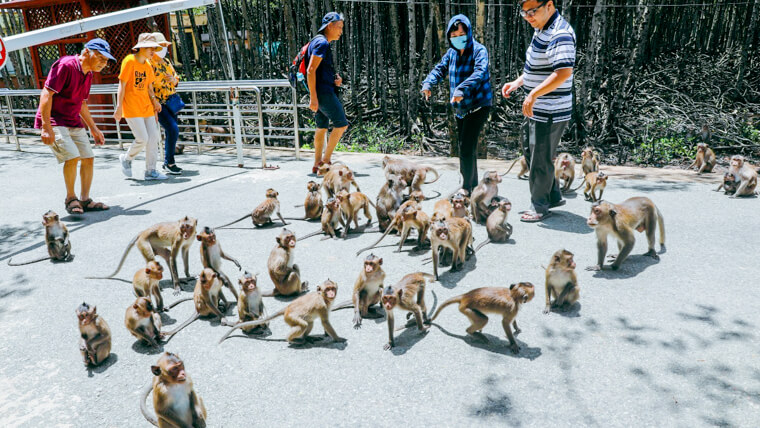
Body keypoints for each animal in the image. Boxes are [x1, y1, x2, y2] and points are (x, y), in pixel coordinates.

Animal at [218, 280, 346, 344]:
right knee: (303, 325)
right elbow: (325, 322)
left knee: (309, 323)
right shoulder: (322, 306)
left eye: (332, 288)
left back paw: (306, 338)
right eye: (327, 289)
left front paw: (327, 334)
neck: (323, 297)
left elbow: (324, 323)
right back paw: (291, 340)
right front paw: (337, 338)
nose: (331, 293)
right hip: (290, 317)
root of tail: (287, 307)